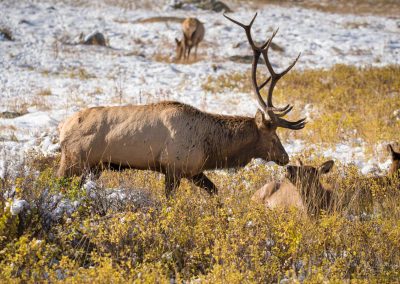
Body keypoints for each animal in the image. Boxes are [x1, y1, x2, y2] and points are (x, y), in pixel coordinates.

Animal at [56, 13, 304, 197]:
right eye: (273, 137)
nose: (285, 157)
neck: (211, 149)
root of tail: (62, 127)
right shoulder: (173, 168)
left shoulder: (193, 171)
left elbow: (215, 191)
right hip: (73, 160)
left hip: (94, 166)